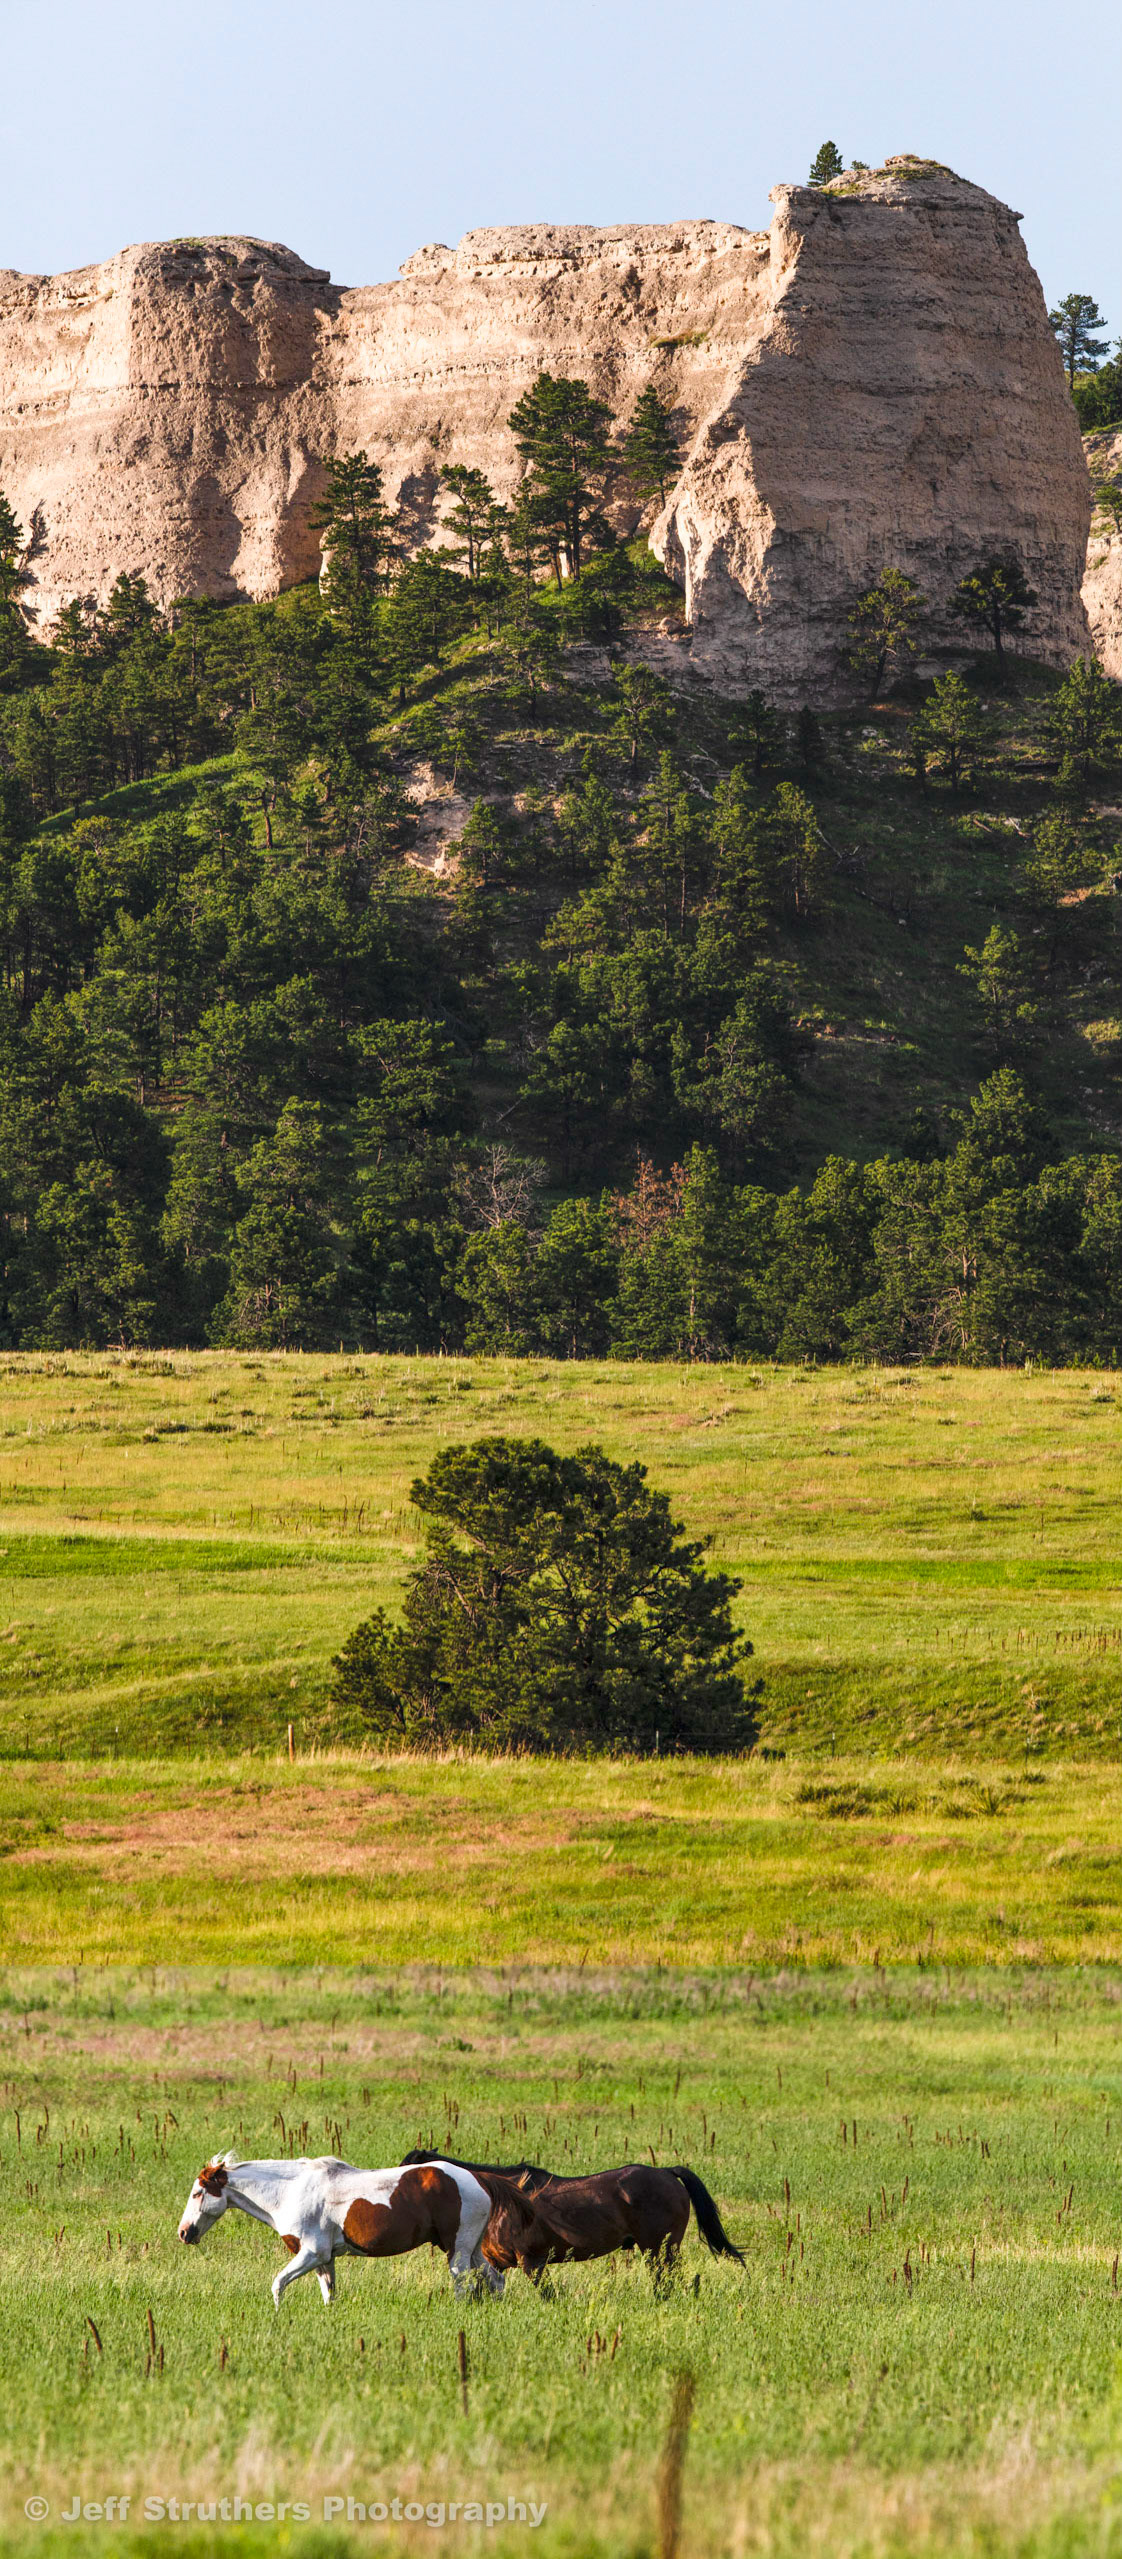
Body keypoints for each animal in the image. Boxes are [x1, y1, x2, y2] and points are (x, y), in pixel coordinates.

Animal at [177, 2152, 505, 2306]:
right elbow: (329, 2294)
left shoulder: (311, 2253)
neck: (292, 2190)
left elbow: (278, 2284)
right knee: (495, 2279)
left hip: (458, 2250)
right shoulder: (325, 2259)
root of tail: (478, 2179)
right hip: (473, 2249)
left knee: (463, 2282)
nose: (183, 2232)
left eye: (196, 2194)